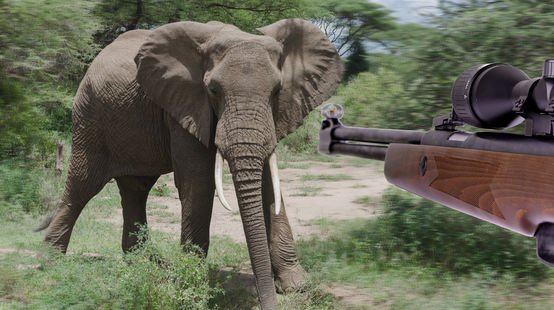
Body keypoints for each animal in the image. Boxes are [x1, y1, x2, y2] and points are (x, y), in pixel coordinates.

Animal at [40, 18, 340, 308]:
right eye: (213, 90)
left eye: (277, 91)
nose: (268, 300)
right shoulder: (186, 104)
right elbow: (198, 181)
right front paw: (191, 287)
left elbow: (269, 183)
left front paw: (297, 285)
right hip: (89, 115)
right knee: (82, 186)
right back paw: (50, 264)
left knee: (136, 189)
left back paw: (147, 266)